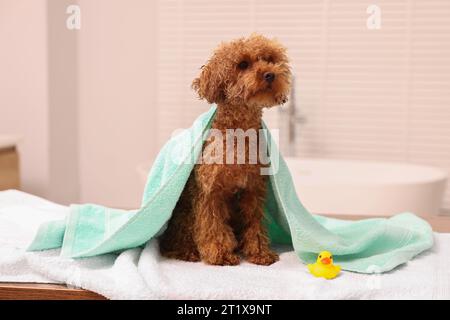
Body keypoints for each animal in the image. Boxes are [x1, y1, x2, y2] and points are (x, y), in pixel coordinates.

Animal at [158, 34, 292, 264]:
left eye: (270, 59)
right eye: (243, 64)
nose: (270, 74)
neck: (239, 135)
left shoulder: (252, 190)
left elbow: (254, 223)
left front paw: (259, 252)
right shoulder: (210, 191)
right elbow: (212, 226)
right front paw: (220, 253)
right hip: (183, 214)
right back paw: (187, 252)